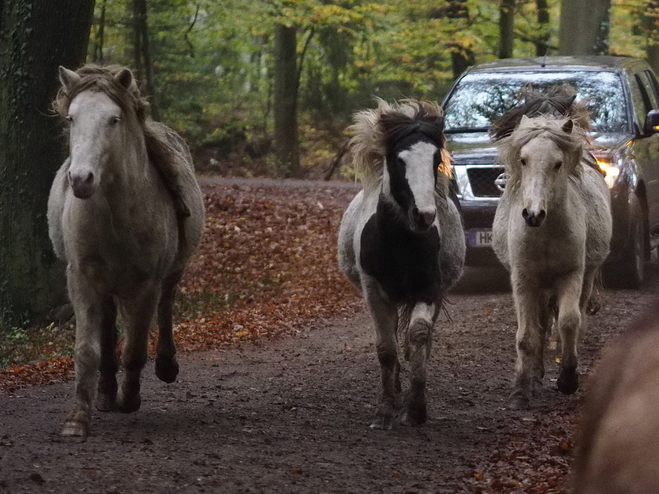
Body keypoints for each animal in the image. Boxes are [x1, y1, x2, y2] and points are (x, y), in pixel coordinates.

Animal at [48, 64, 206, 436]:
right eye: (72, 118)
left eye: (113, 119)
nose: (81, 179)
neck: (114, 215)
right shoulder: (82, 279)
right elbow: (87, 351)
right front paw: (78, 418)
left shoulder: (146, 284)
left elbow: (135, 349)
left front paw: (130, 399)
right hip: (105, 286)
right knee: (107, 331)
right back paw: (106, 393)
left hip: (170, 275)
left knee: (166, 307)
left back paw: (164, 366)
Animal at [340, 99, 464, 428]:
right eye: (399, 160)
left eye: (435, 160)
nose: (424, 216)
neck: (400, 244)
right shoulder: (373, 291)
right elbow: (386, 349)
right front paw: (385, 410)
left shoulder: (430, 289)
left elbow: (418, 336)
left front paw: (416, 407)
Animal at [496, 115, 612, 410]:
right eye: (523, 160)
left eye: (558, 163)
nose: (533, 214)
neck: (545, 231)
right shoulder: (523, 280)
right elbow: (527, 336)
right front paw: (521, 391)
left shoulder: (571, 275)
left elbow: (569, 322)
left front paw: (568, 379)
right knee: (541, 323)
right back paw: (535, 376)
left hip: (585, 278)